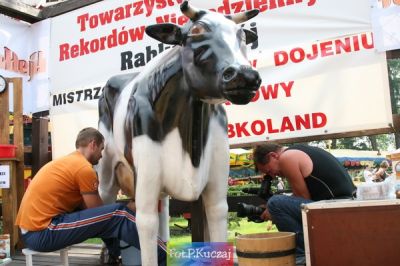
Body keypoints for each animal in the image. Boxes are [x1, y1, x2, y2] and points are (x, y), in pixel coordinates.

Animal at [97, 1, 260, 264]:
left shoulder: (217, 183)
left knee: (163, 211)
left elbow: (217, 213)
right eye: (196, 31)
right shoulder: (146, 178)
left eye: (242, 35)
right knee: (107, 204)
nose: (244, 74)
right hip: (107, 170)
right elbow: (146, 223)